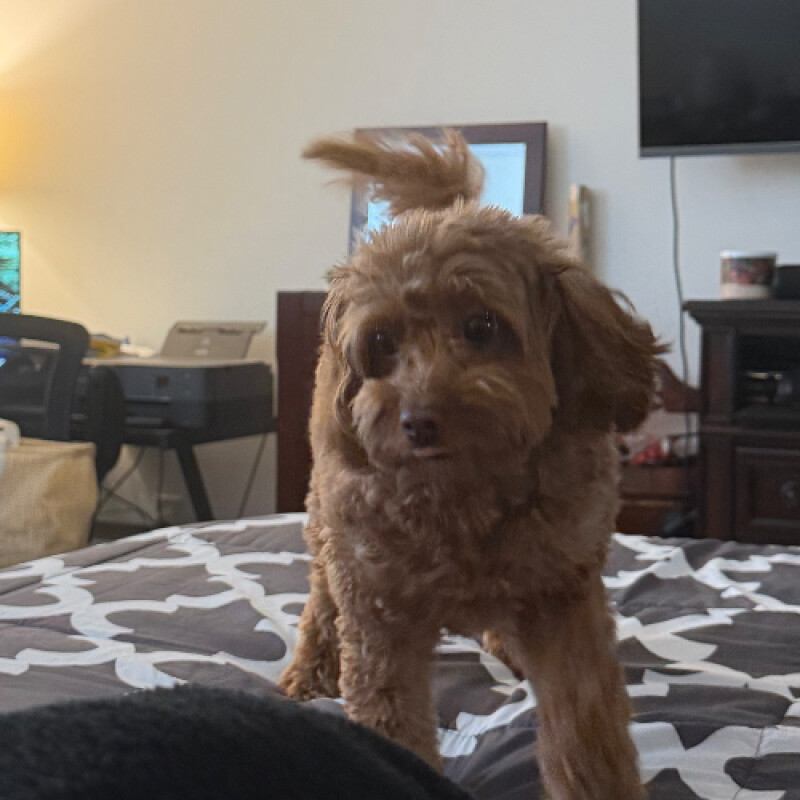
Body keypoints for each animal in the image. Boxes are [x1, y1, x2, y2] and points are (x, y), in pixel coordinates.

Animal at [279, 129, 664, 799]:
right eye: (381, 344)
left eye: (482, 325)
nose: (419, 420)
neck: (463, 491)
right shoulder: (380, 617)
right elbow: (394, 724)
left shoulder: (565, 602)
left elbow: (585, 734)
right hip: (327, 523)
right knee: (320, 596)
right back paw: (308, 670)